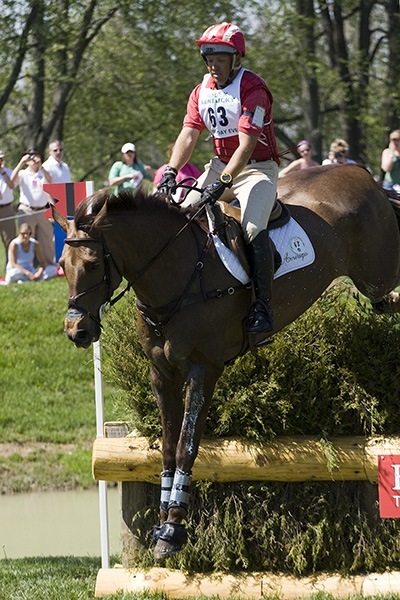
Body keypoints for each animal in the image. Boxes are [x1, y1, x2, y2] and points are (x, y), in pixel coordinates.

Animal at [53, 164, 400, 560]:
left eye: (93, 264)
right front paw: (161, 522)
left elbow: (186, 446)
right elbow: (167, 448)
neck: (174, 272)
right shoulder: (162, 374)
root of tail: (364, 175)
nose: (77, 331)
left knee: (388, 293)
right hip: (375, 283)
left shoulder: (203, 369)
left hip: (377, 276)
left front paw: (173, 529)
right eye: (62, 265)